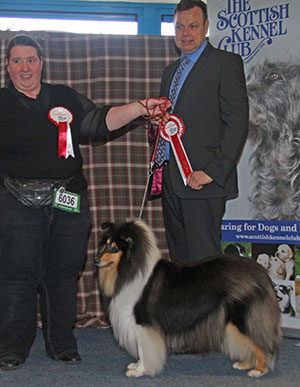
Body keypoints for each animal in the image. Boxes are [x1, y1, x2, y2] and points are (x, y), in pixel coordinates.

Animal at [95, 220, 282, 380]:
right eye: (106, 243)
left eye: (114, 248)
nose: (96, 260)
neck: (130, 270)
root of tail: (260, 272)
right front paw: (137, 366)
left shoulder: (143, 322)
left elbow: (143, 349)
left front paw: (139, 371)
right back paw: (245, 364)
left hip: (242, 317)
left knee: (260, 343)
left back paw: (259, 371)